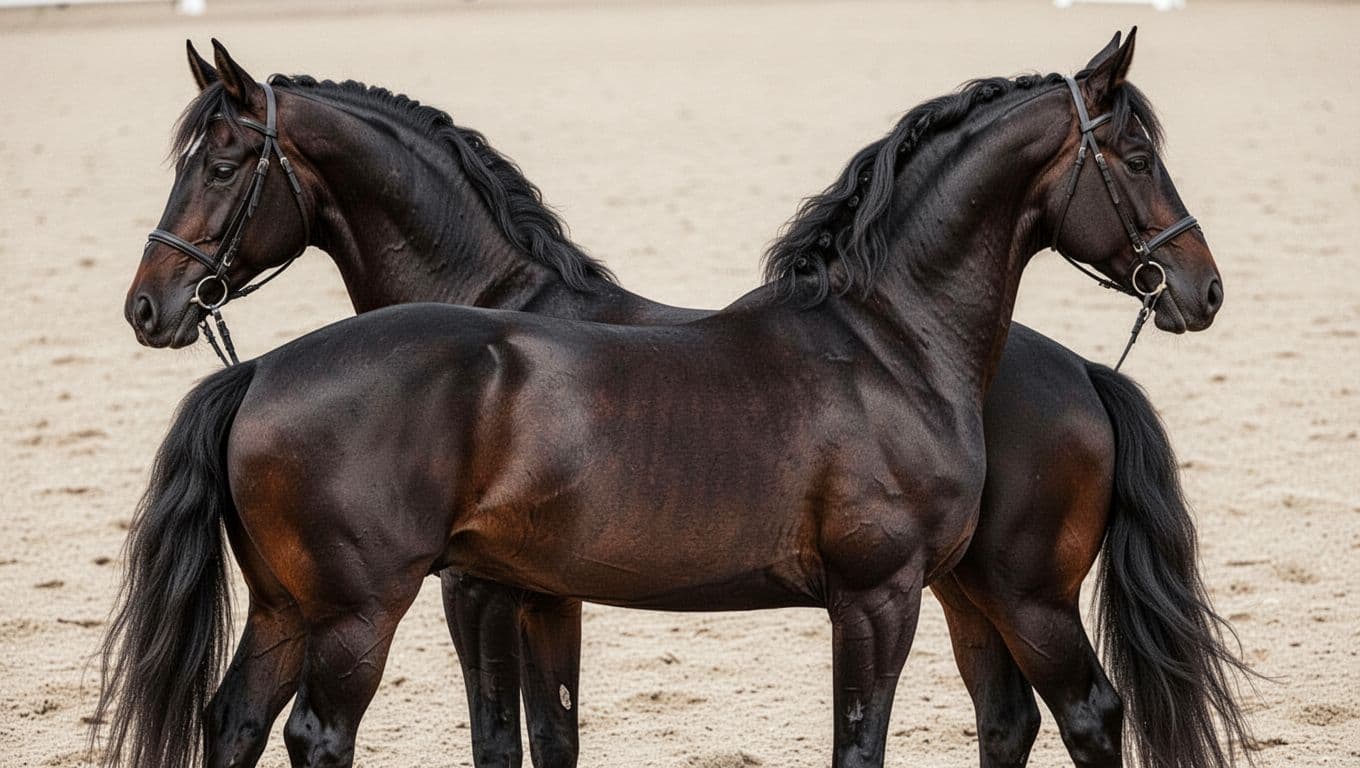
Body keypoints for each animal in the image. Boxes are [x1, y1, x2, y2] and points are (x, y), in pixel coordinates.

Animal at [105, 32, 1237, 768]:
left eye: (220, 165)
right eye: (1139, 155)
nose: (1199, 288)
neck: (885, 342)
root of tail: (258, 370)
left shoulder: (526, 592)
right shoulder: (872, 596)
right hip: (347, 609)